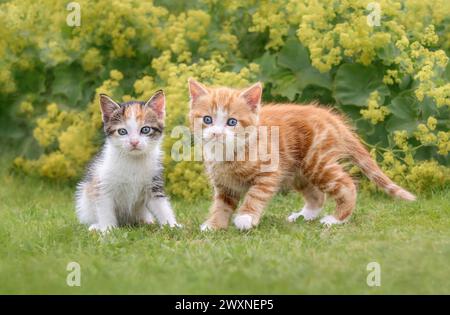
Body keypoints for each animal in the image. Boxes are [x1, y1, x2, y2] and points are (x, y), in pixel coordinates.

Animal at [188, 79, 416, 232]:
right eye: (207, 119)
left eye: (232, 122)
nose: (217, 133)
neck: (229, 153)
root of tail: (333, 119)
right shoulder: (224, 185)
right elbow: (221, 205)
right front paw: (215, 224)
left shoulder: (271, 171)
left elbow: (256, 194)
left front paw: (245, 217)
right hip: (299, 171)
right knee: (317, 196)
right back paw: (304, 216)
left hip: (317, 163)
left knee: (347, 185)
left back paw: (336, 219)